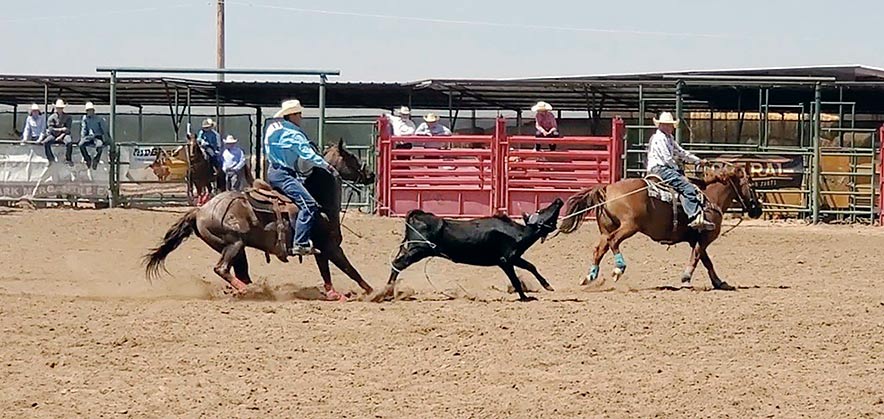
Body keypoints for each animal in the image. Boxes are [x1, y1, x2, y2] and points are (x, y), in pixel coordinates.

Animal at [144, 139, 376, 300]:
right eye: (352, 157)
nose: (371, 175)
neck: (319, 200)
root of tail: (200, 211)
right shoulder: (331, 246)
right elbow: (351, 270)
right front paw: (375, 292)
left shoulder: (321, 249)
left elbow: (326, 273)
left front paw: (334, 294)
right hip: (234, 243)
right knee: (222, 269)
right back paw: (247, 290)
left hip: (236, 248)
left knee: (240, 272)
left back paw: (249, 289)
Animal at [376, 199, 564, 302]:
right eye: (542, 210)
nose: (558, 200)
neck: (519, 232)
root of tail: (418, 215)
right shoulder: (505, 261)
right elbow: (516, 279)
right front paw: (525, 297)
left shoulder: (514, 258)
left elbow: (531, 266)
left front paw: (547, 286)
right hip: (418, 249)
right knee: (397, 264)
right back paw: (387, 292)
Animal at [564, 164, 764, 292]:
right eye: (752, 184)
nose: (758, 210)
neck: (710, 198)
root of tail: (606, 189)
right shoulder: (704, 238)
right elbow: (697, 258)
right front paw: (686, 279)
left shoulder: (695, 239)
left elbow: (706, 261)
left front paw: (720, 282)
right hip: (629, 226)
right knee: (614, 241)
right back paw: (618, 269)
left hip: (606, 230)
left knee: (600, 249)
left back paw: (590, 276)